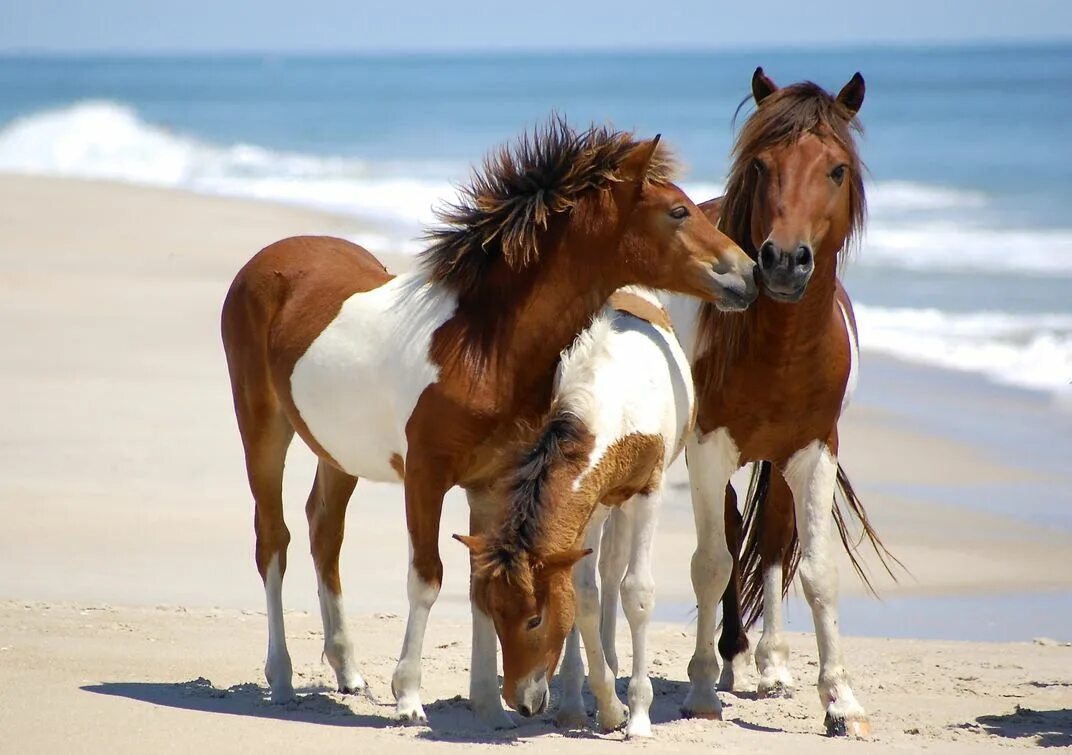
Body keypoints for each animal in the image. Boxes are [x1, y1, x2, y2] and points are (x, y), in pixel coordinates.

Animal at [454, 287, 690, 737]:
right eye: (494, 613)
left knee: (616, 573)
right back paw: (579, 699)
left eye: (533, 620)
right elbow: (583, 597)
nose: (521, 702)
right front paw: (608, 708)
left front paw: (637, 717)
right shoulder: (589, 505)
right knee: (601, 576)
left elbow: (638, 592)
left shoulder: (648, 492)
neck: (611, 398)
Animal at [668, 67, 896, 733]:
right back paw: (724, 658)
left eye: (837, 169)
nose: (784, 262)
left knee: (768, 540)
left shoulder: (812, 451)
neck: (781, 350)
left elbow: (817, 570)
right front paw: (700, 687)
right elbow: (712, 562)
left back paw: (767, 663)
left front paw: (840, 700)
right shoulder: (708, 449)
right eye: (763, 165)